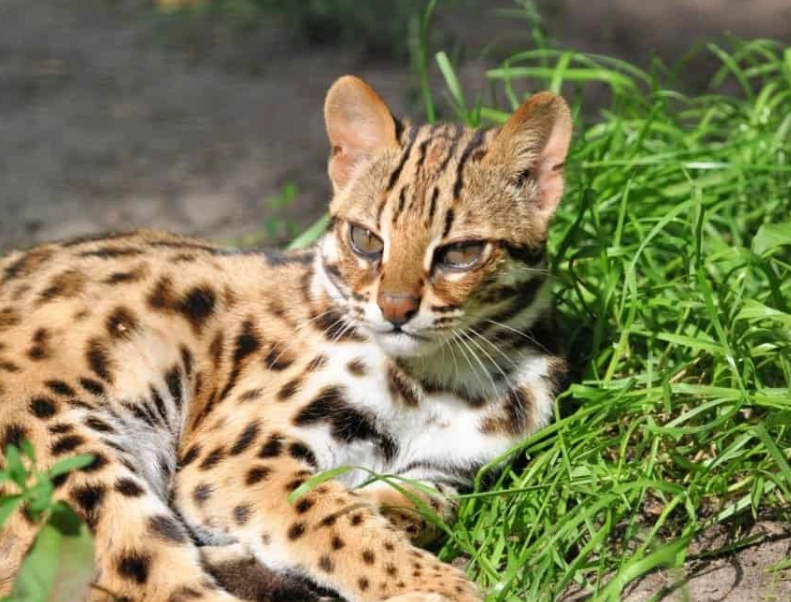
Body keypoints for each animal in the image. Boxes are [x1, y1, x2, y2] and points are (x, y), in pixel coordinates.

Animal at [0, 75, 572, 602]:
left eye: (461, 253)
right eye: (366, 240)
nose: (395, 309)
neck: (446, 379)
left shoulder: (444, 471)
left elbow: (428, 506)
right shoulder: (235, 459)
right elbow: (332, 517)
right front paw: (433, 585)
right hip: (72, 455)